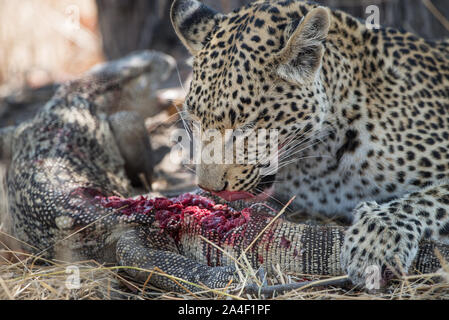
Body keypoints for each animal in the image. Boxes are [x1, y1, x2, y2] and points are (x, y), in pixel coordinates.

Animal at [170, 0, 448, 288]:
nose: (209, 187)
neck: (318, 162)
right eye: (195, 120)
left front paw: (375, 241)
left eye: (246, 128)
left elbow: (425, 198)